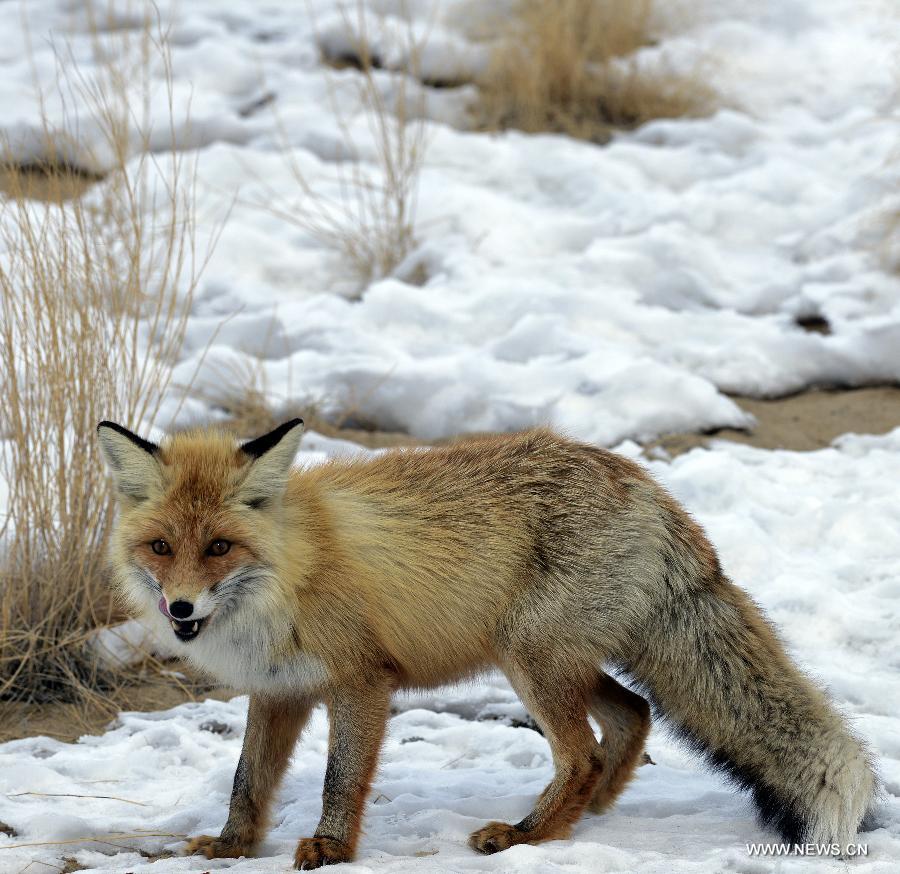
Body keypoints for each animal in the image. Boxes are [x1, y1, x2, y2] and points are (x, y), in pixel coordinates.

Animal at [95, 418, 876, 864]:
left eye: (220, 547)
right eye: (162, 547)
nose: (180, 609)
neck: (292, 571)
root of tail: (645, 484)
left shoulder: (361, 681)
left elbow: (338, 779)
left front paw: (332, 848)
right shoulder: (279, 690)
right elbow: (247, 781)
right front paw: (232, 847)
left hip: (530, 660)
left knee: (584, 752)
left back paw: (528, 836)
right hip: (550, 659)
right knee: (632, 715)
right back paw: (575, 822)